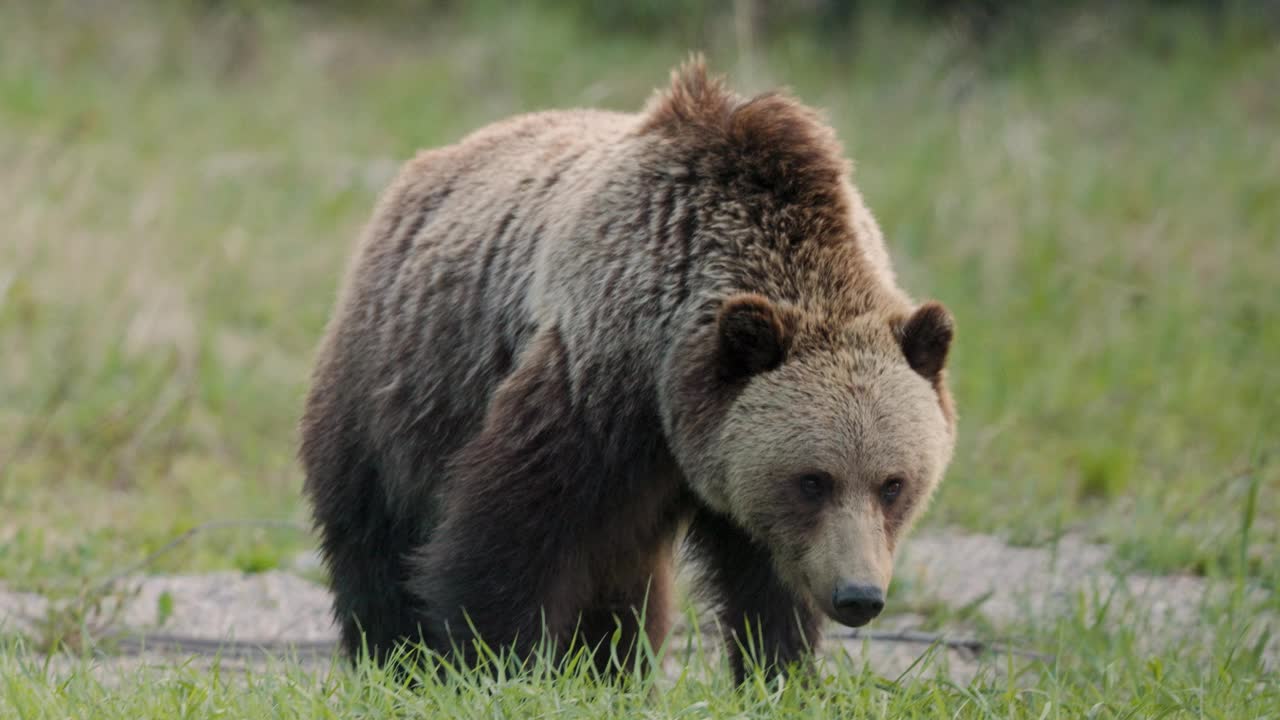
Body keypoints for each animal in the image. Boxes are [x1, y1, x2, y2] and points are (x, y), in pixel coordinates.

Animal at [299, 56, 957, 676]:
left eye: (894, 483)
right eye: (813, 479)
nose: (859, 596)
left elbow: (767, 585)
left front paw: (780, 670)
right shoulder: (597, 383)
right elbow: (506, 535)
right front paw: (491, 662)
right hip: (399, 384)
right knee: (374, 535)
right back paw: (392, 653)